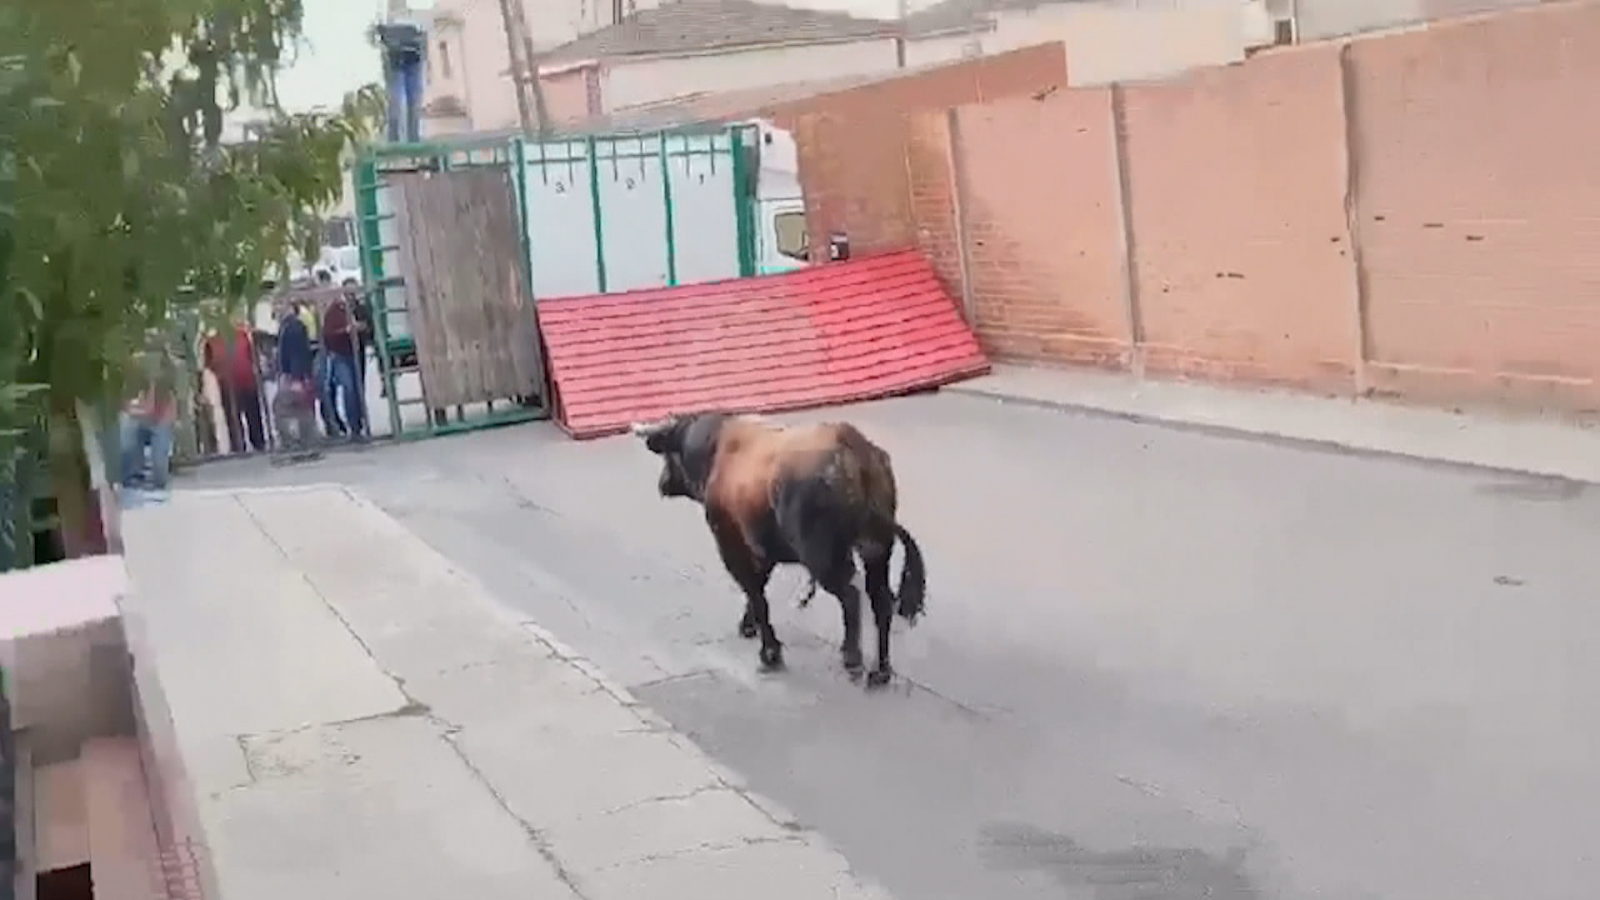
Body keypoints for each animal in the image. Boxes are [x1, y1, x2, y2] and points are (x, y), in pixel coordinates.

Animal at [627, 413, 928, 685]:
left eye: (668, 454)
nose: (662, 483)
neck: (715, 451)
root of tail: (852, 445)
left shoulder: (731, 543)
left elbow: (756, 593)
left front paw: (770, 652)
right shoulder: (763, 547)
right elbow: (757, 588)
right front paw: (748, 626)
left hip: (823, 555)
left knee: (851, 594)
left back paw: (852, 658)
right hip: (876, 548)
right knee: (881, 600)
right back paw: (881, 670)